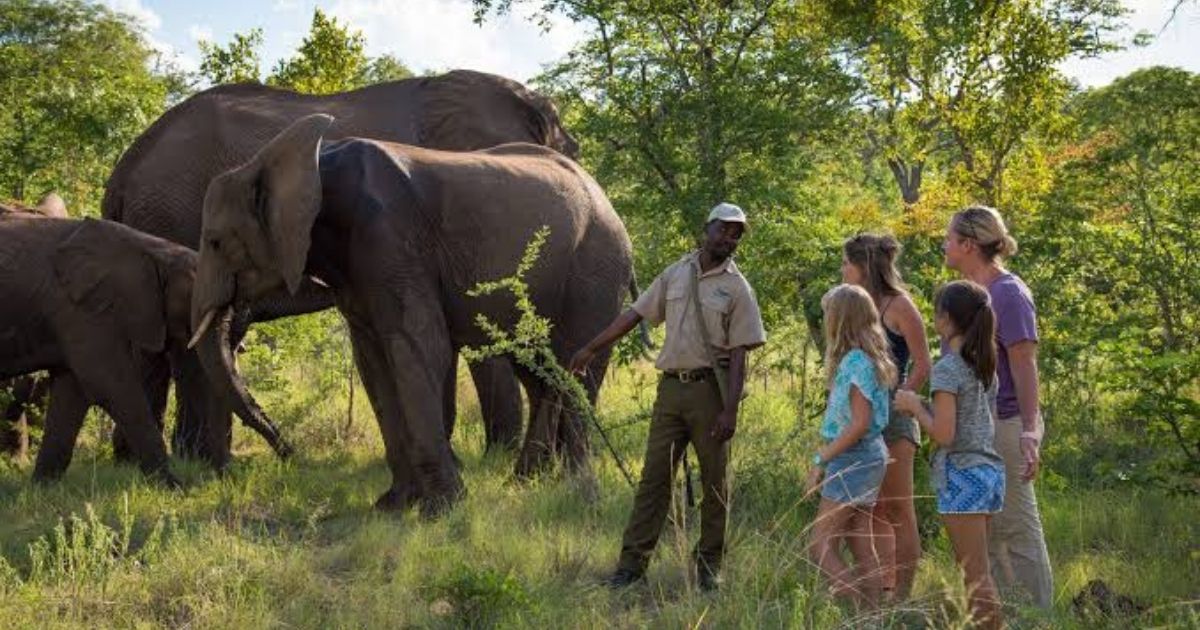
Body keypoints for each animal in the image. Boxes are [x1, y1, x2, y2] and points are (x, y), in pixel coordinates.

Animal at [0, 215, 290, 484]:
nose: (290, 455)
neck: (151, 250)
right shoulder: (79, 312)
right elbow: (113, 386)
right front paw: (175, 487)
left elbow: (72, 393)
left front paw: (43, 488)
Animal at [103, 70, 580, 462]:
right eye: (568, 151)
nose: (291, 455)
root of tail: (125, 167)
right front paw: (495, 457)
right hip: (174, 213)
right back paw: (200, 461)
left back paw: (142, 460)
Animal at [190, 115, 633, 515]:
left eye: (214, 242)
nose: (291, 457)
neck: (302, 159)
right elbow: (372, 362)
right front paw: (393, 506)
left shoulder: (391, 237)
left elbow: (416, 345)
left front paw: (442, 509)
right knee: (541, 373)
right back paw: (527, 482)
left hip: (595, 266)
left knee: (575, 366)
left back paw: (575, 488)